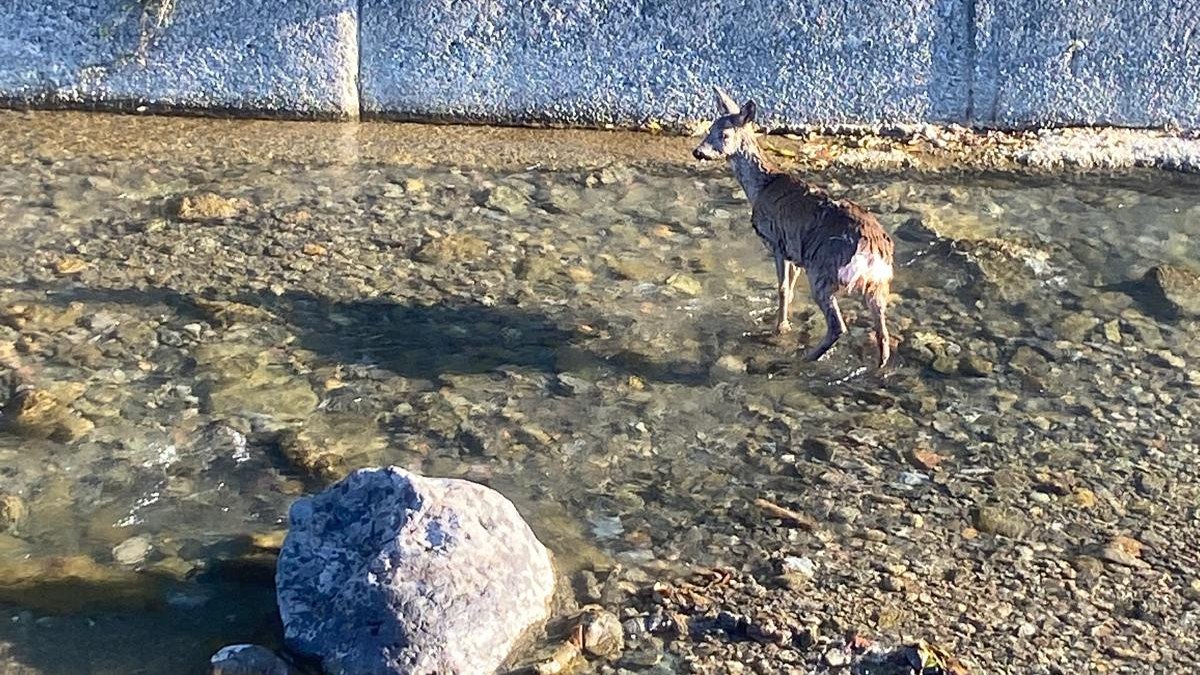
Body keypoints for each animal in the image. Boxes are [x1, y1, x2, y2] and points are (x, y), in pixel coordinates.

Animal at [691, 87, 897, 367]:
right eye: (710, 128)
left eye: (724, 134)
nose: (698, 152)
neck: (761, 187)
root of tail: (875, 251)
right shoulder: (796, 254)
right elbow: (789, 290)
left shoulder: (777, 241)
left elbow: (782, 289)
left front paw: (781, 328)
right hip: (876, 286)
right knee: (882, 334)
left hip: (823, 269)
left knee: (838, 326)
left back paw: (803, 359)